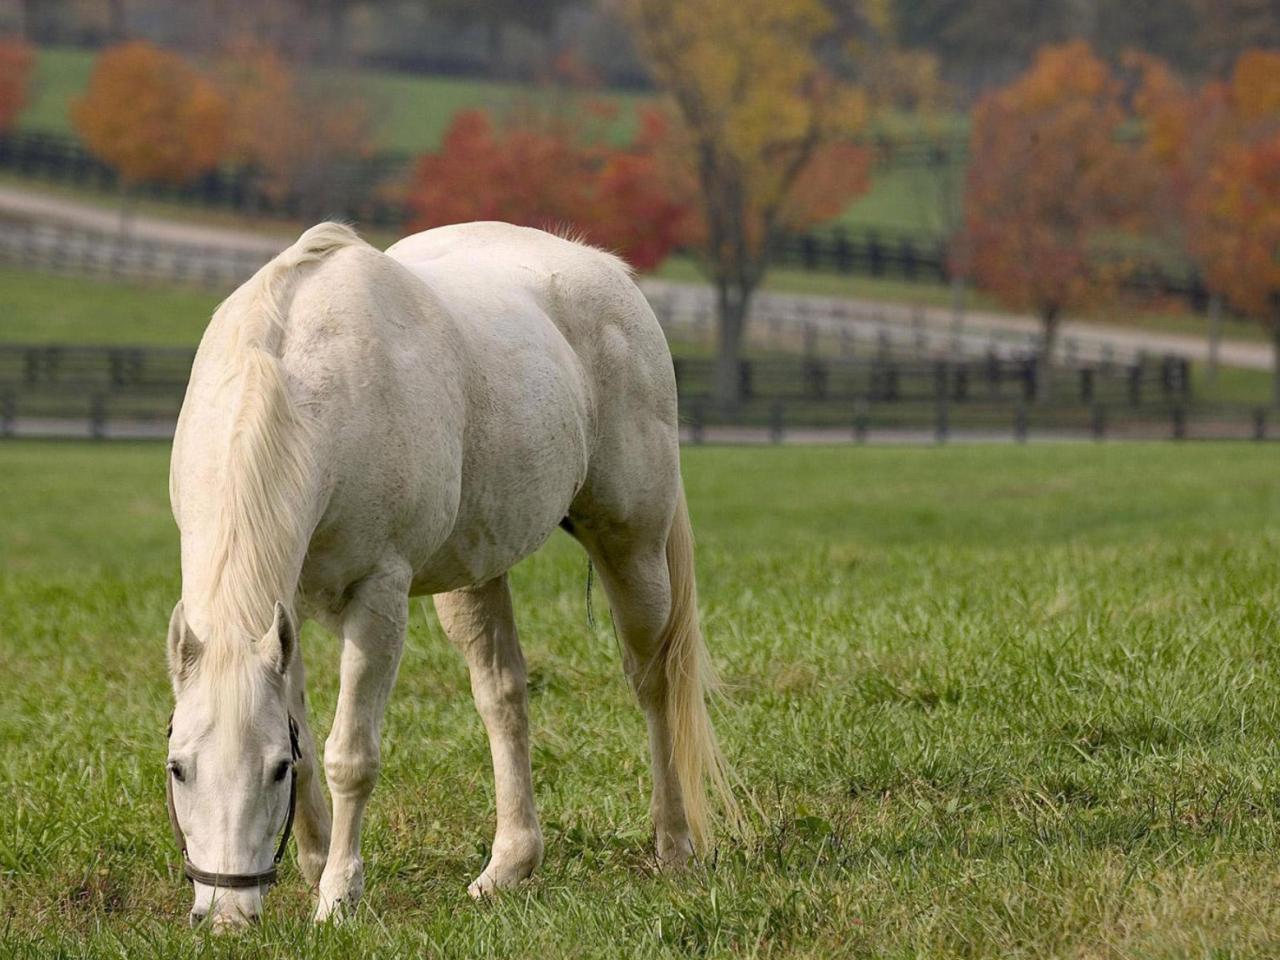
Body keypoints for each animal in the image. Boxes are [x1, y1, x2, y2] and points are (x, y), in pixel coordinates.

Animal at [165, 221, 737, 926]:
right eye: (178, 768)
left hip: (632, 546)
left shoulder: (379, 598)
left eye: (272, 770)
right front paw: (315, 866)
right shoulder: (285, 608)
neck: (299, 384)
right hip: (476, 574)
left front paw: (338, 896)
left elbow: (349, 754)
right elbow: (310, 736)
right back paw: (509, 866)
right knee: (503, 697)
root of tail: (609, 271)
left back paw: (674, 844)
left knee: (655, 683)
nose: (225, 915)